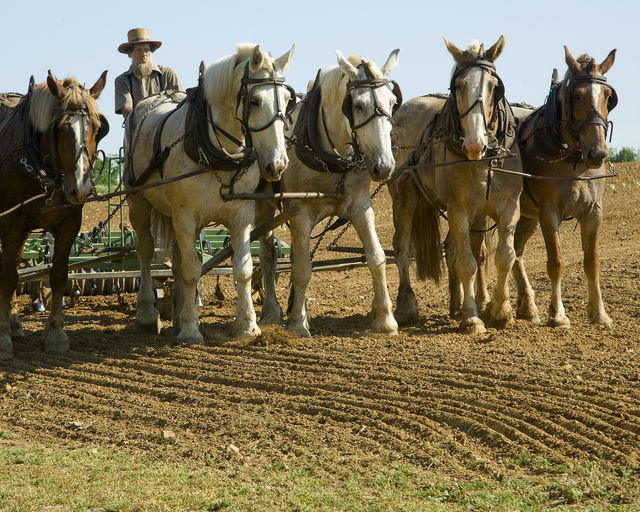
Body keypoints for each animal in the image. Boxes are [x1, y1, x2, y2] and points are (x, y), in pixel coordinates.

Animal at [0, 71, 109, 360]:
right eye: (60, 128)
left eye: (98, 127)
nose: (80, 189)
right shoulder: (10, 223)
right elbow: (9, 277)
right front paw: (3, 340)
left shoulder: (69, 223)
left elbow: (59, 275)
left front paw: (56, 335)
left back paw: (15, 322)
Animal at [126, 42, 296, 342]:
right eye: (255, 101)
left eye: (288, 101)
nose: (277, 164)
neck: (215, 152)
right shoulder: (184, 216)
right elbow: (192, 270)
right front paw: (191, 331)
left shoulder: (241, 217)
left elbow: (243, 269)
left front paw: (248, 325)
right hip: (139, 202)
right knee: (145, 251)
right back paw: (146, 314)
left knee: (177, 259)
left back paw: (178, 315)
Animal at [256, 50, 400, 338]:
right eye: (358, 105)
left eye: (392, 102)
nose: (384, 166)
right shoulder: (300, 212)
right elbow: (302, 268)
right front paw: (296, 325)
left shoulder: (361, 206)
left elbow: (376, 257)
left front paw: (385, 319)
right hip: (263, 207)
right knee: (268, 255)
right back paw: (272, 312)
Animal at [510, 48, 616, 328]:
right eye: (577, 95)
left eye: (608, 96)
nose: (598, 153)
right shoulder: (549, 214)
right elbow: (556, 262)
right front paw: (558, 314)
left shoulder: (594, 212)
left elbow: (592, 262)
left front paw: (599, 314)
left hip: (527, 217)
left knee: (515, 252)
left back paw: (527, 307)